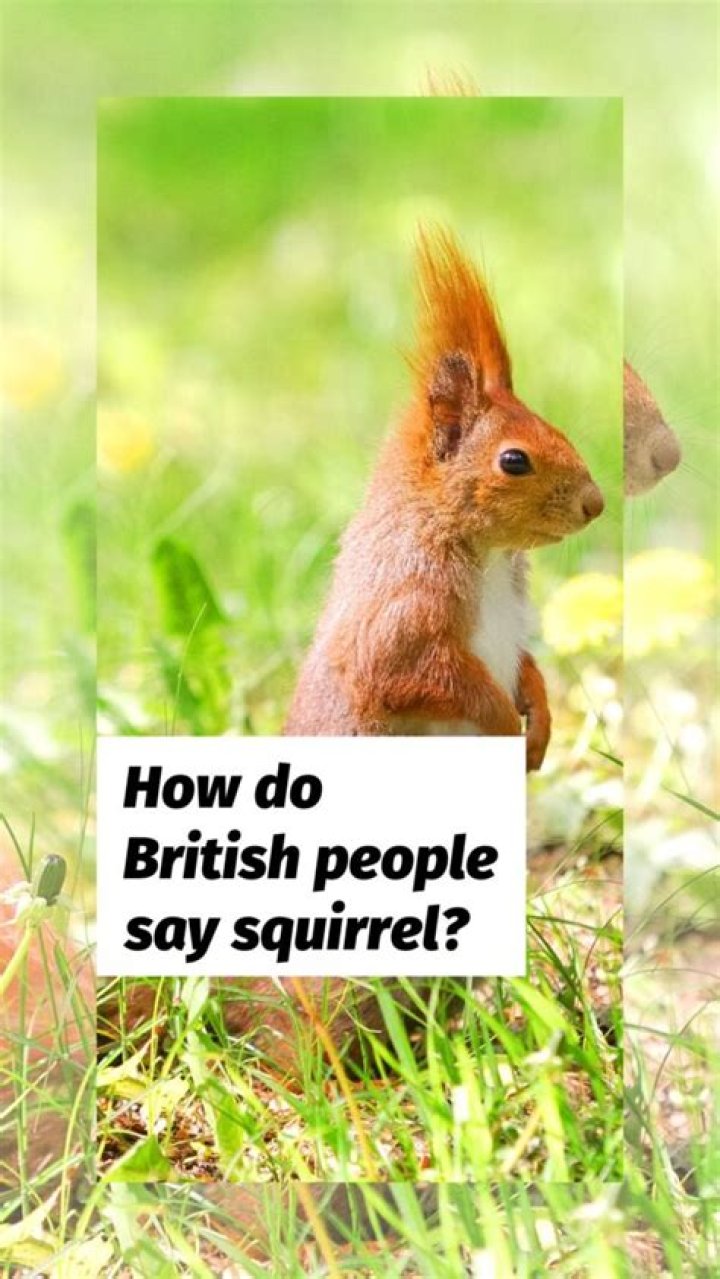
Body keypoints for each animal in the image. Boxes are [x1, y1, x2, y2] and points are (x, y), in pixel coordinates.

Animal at [285, 226, 604, 767]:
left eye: (559, 430)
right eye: (513, 460)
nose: (595, 503)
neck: (487, 553)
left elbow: (526, 666)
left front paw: (540, 722)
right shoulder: (401, 608)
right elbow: (420, 676)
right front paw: (505, 723)